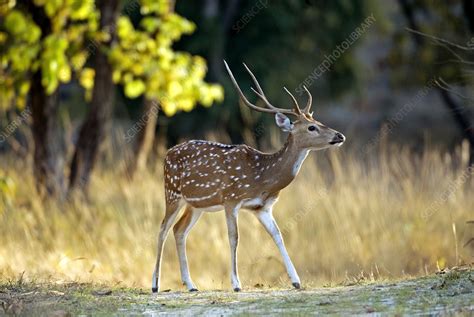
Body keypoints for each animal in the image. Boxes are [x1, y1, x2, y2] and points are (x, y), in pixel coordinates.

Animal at [152, 59, 344, 292]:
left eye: (318, 121)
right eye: (312, 127)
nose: (339, 136)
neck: (262, 177)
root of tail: (166, 154)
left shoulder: (262, 207)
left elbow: (278, 235)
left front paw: (296, 280)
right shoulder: (231, 199)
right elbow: (234, 237)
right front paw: (236, 284)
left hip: (196, 204)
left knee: (179, 230)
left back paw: (191, 285)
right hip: (171, 192)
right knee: (163, 228)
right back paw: (155, 284)